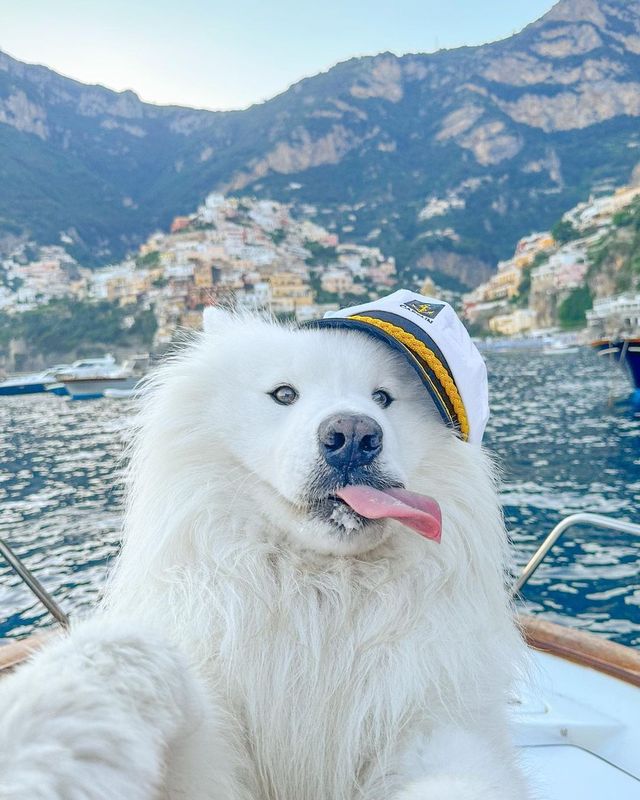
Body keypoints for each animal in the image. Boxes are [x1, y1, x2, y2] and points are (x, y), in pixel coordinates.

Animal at [0, 308, 528, 800]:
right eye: (284, 394)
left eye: (383, 398)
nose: (353, 435)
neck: (319, 601)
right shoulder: (212, 749)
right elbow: (120, 654)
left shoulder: (439, 720)